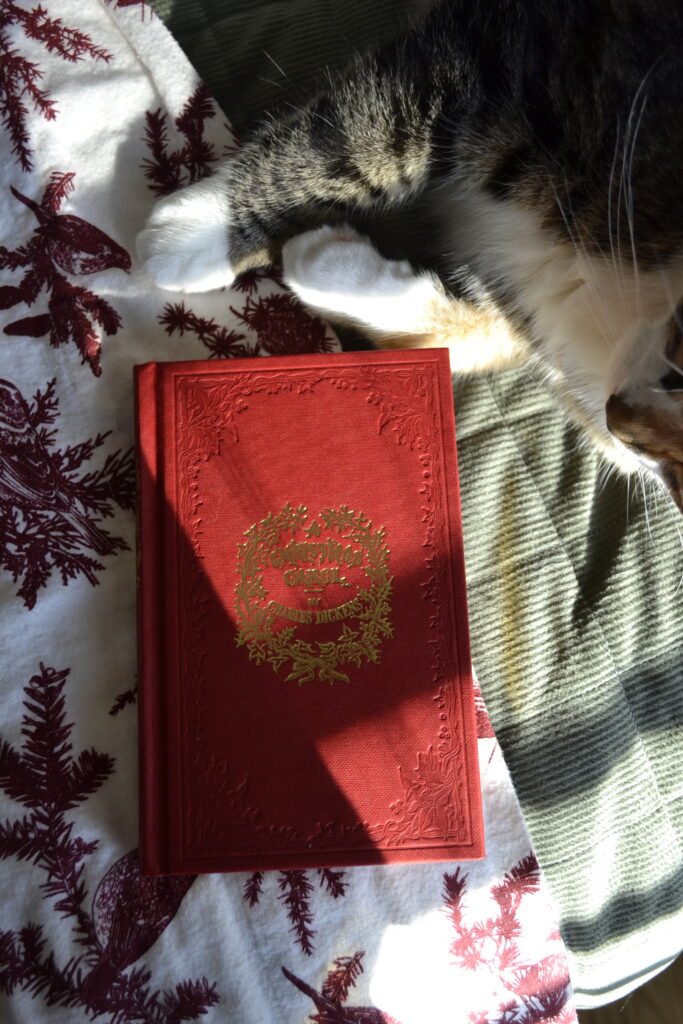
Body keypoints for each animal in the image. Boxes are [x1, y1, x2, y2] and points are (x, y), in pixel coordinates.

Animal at [136, 0, 683, 505]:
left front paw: (325, 263)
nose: (618, 422)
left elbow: (492, 333)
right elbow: (366, 137)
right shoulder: (518, 53)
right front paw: (200, 233)